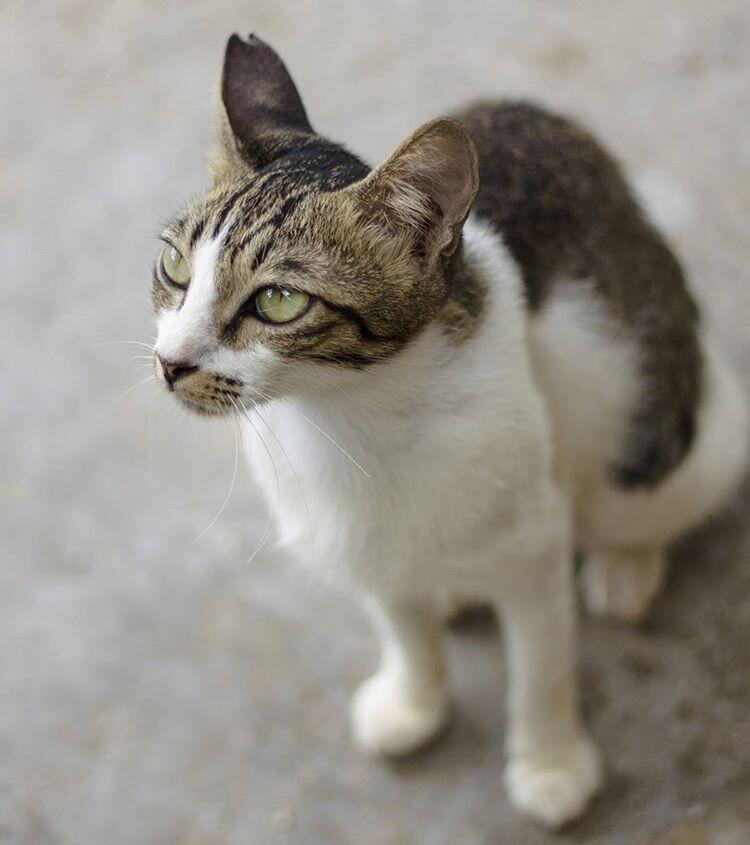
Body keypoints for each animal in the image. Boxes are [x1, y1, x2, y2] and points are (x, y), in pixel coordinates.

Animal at [150, 33, 748, 824]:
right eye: (174, 266)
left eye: (278, 301)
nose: (170, 363)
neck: (349, 413)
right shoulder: (354, 535)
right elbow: (402, 626)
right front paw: (415, 701)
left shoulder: (533, 543)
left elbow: (542, 666)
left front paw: (551, 764)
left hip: (648, 431)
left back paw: (625, 568)